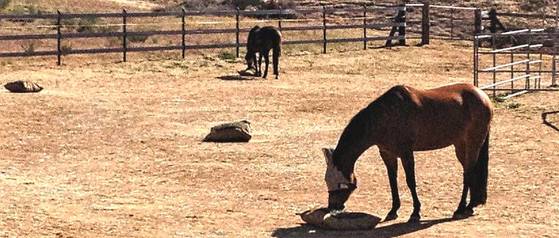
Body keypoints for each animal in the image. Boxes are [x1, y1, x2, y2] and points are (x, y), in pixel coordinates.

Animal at [324, 83, 494, 223]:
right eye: (326, 180)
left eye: (339, 183)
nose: (332, 207)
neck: (386, 116)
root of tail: (484, 97)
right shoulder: (387, 154)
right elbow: (392, 181)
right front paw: (393, 211)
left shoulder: (406, 153)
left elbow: (410, 181)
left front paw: (415, 213)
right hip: (460, 146)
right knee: (470, 171)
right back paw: (471, 205)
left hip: (472, 144)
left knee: (468, 173)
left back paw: (461, 209)